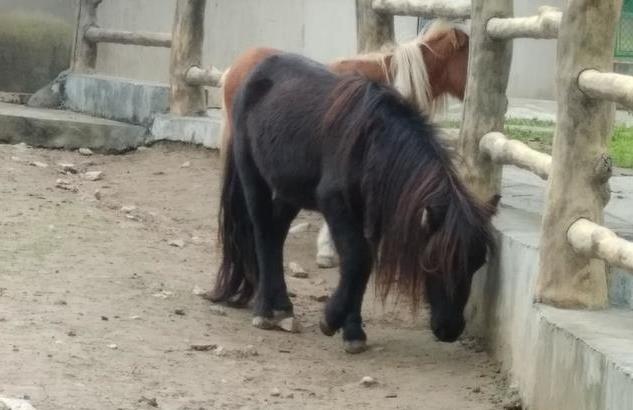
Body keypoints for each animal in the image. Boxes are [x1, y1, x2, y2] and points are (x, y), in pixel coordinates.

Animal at [210, 52, 496, 354]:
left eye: (477, 263)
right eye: (432, 262)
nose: (450, 329)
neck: (371, 143)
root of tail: (253, 70)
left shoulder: (371, 217)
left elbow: (364, 267)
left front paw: (353, 331)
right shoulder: (337, 206)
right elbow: (357, 261)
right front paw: (331, 319)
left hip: (291, 192)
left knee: (276, 234)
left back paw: (283, 306)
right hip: (253, 177)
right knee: (263, 233)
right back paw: (265, 311)